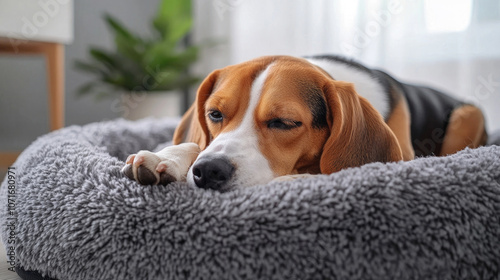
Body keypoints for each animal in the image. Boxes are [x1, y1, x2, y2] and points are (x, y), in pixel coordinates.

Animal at [122, 55, 488, 190]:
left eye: (284, 122)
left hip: (468, 115)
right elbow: (194, 143)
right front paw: (164, 158)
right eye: (214, 114)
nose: (209, 171)